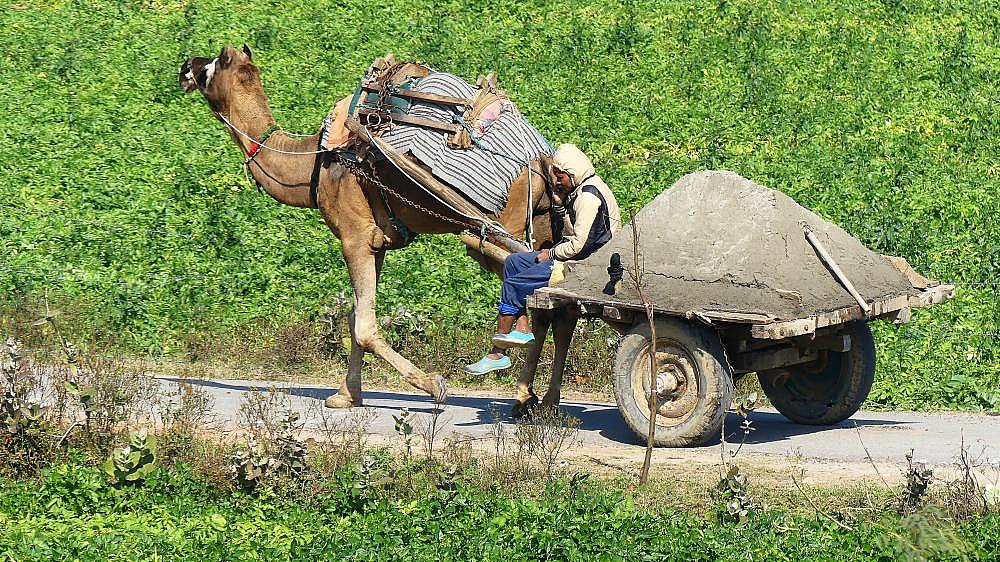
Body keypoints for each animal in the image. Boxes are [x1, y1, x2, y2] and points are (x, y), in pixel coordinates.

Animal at [179, 45, 578, 412]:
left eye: (210, 65)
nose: (185, 66)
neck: (312, 164)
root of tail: (542, 162)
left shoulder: (353, 236)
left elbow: (365, 326)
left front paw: (434, 386)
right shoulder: (377, 241)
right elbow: (357, 315)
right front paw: (345, 394)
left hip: (499, 221)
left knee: (534, 283)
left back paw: (521, 383)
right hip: (545, 222)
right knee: (556, 304)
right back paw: (538, 400)